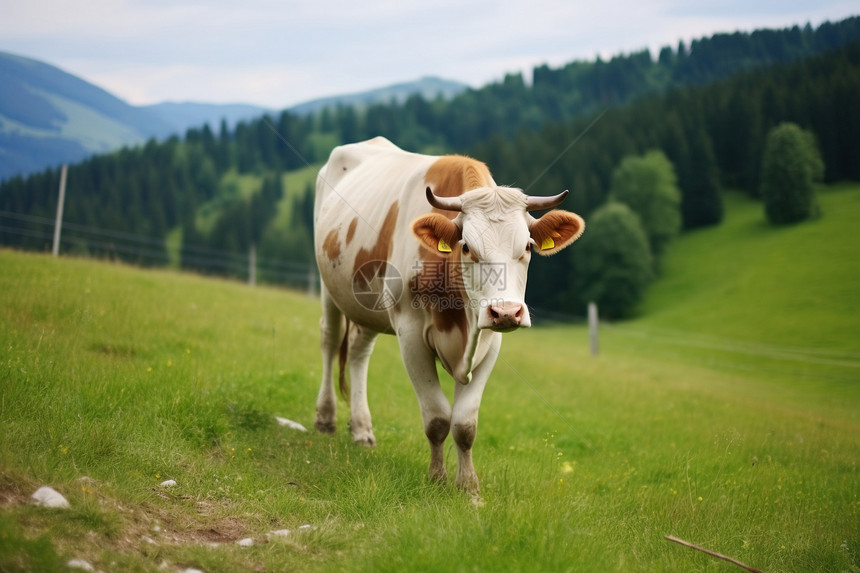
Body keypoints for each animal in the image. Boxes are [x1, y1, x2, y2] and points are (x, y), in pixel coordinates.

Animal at [310, 136, 584, 494]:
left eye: (527, 246)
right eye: (466, 247)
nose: (506, 312)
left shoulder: (490, 342)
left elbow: (465, 424)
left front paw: (469, 488)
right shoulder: (410, 335)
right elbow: (437, 418)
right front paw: (437, 478)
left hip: (369, 301)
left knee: (358, 351)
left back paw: (362, 429)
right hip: (330, 286)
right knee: (330, 340)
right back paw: (325, 418)